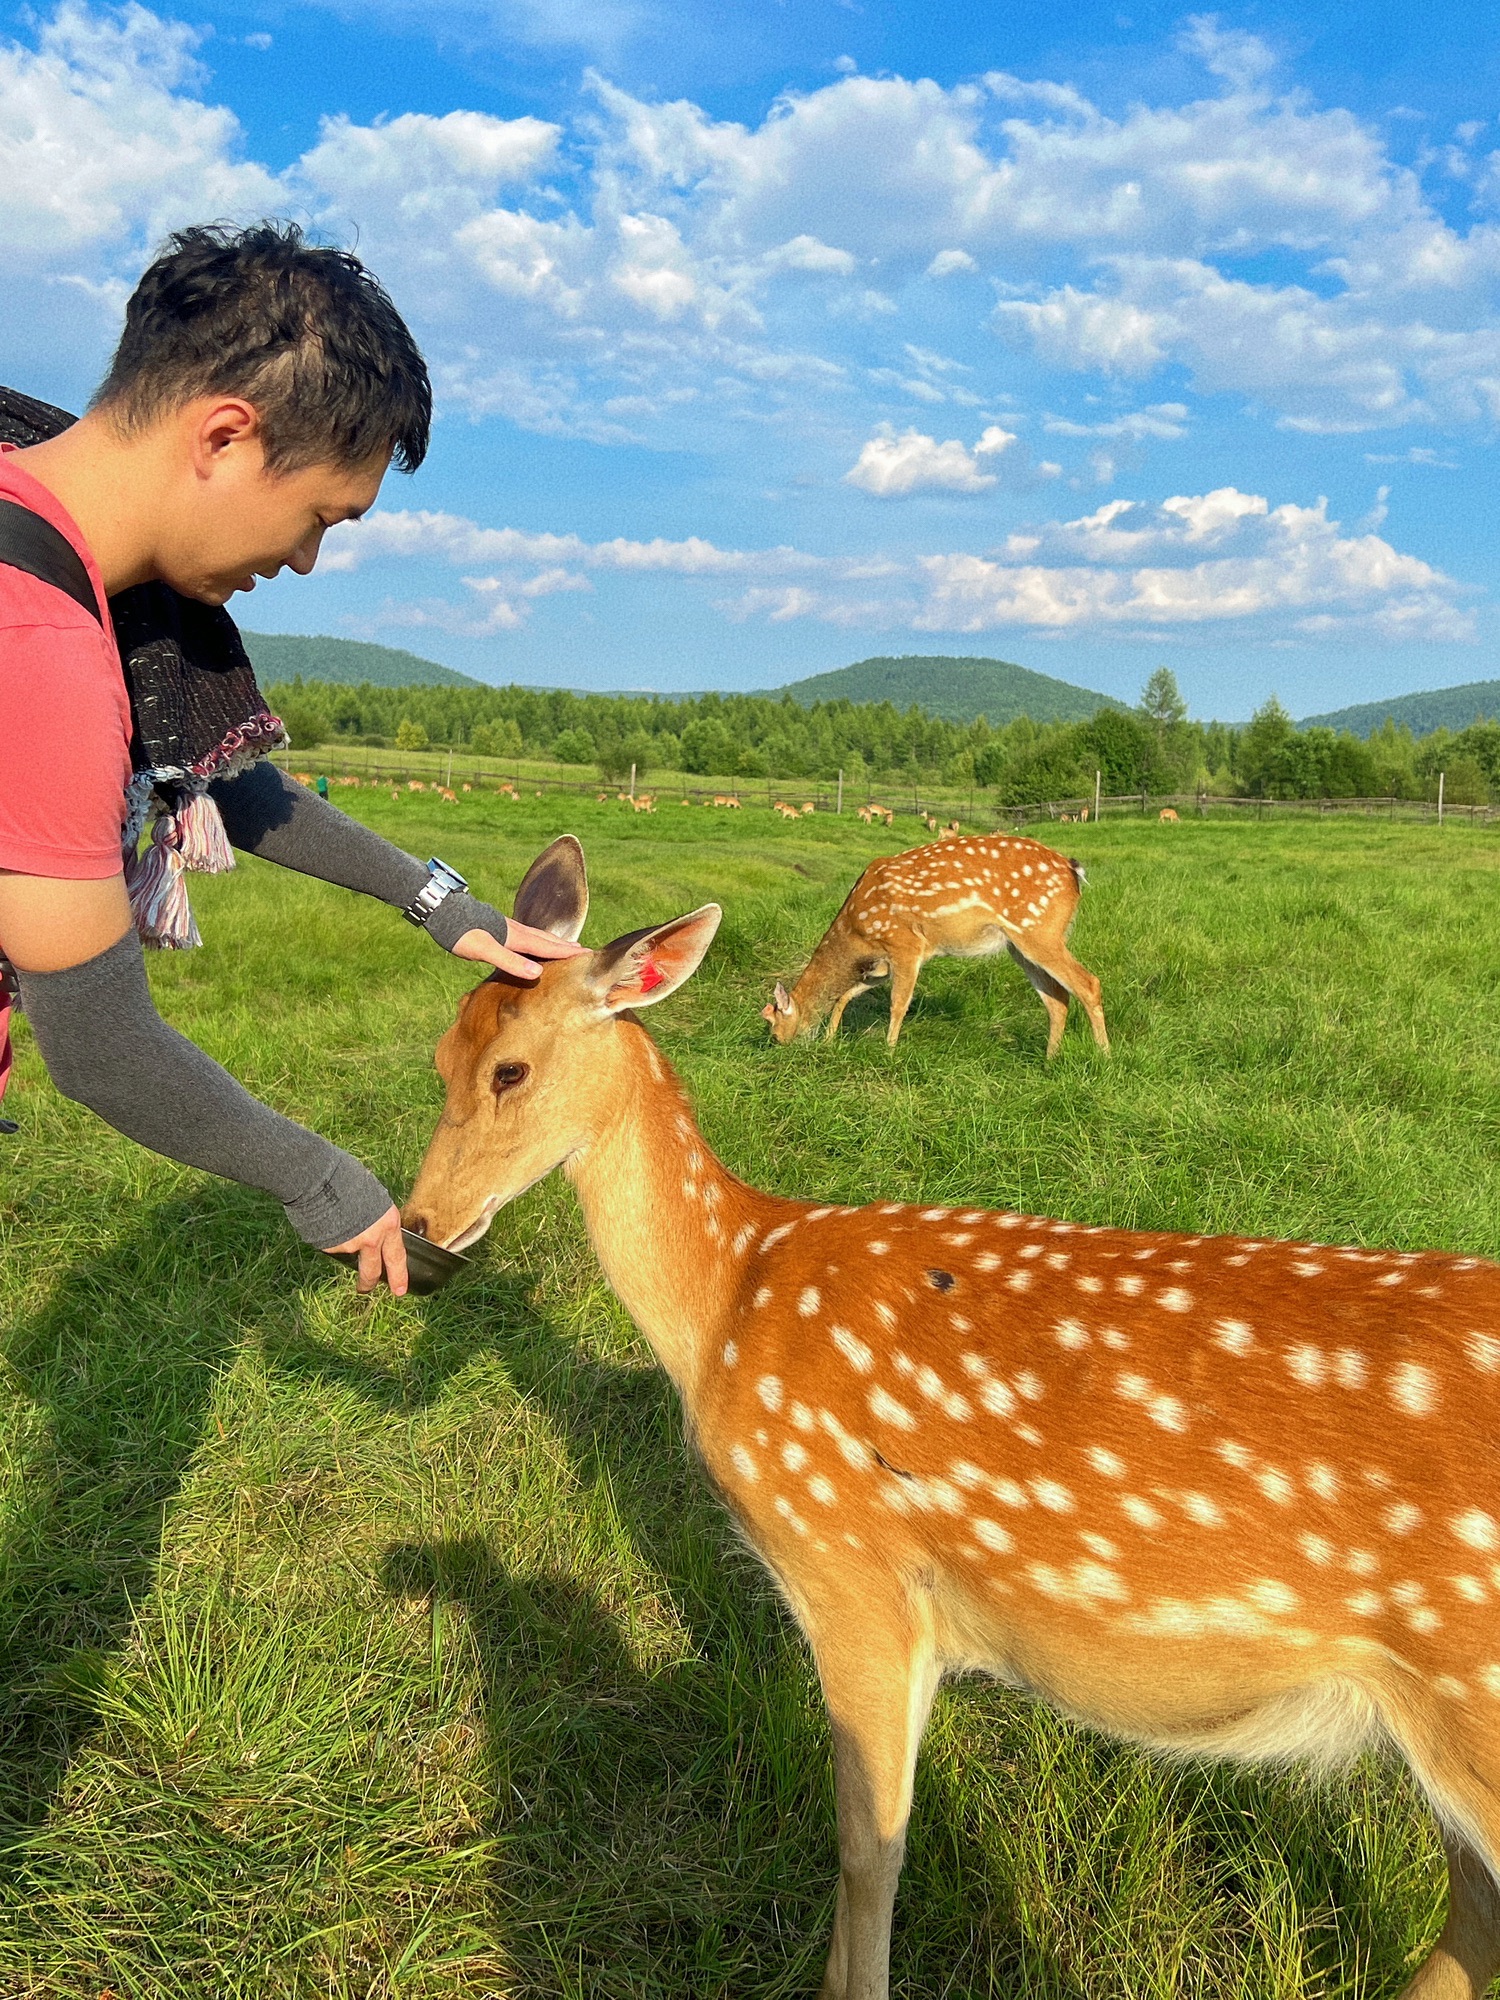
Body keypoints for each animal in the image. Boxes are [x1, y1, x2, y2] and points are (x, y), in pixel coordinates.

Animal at [762, 833, 1109, 1056]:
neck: (856, 930)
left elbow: (898, 1002)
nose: (779, 1049)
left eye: (774, 1032)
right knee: (1058, 996)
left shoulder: (905, 943)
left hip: (1038, 929)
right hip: (1019, 944)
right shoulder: (882, 965)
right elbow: (847, 994)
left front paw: (888, 1051)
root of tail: (1073, 870)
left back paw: (1103, 1056)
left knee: (1088, 983)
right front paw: (830, 1040)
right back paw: (1050, 1059)